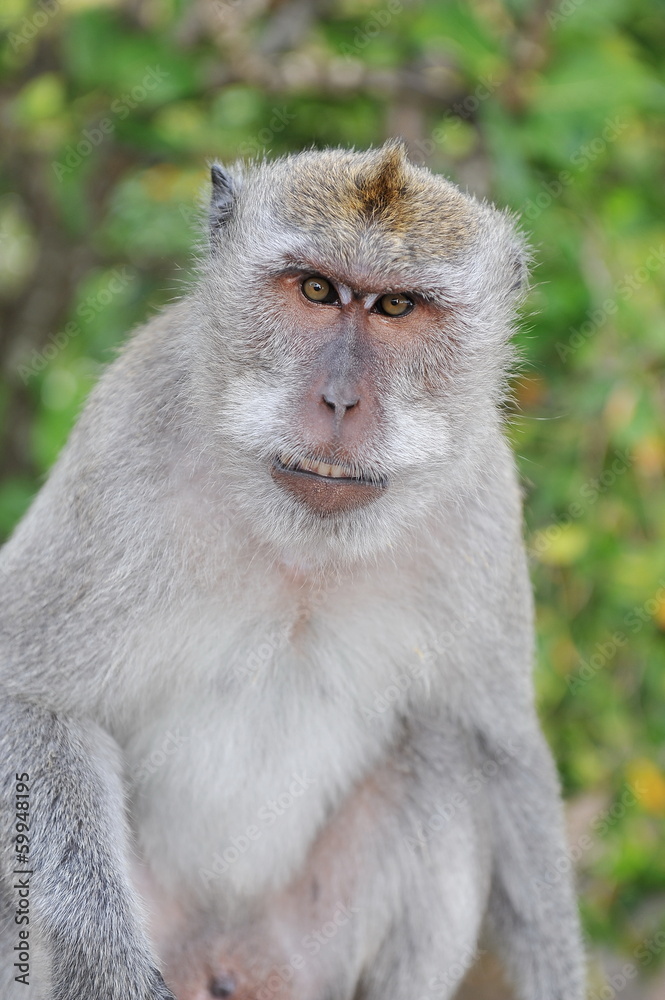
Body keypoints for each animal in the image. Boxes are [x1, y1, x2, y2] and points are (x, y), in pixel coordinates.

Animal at [0, 140, 585, 1000]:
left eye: (396, 307)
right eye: (314, 289)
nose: (339, 400)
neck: (304, 543)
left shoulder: (480, 493)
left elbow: (501, 748)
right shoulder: (127, 439)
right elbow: (31, 702)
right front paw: (105, 968)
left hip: (303, 956)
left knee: (446, 752)